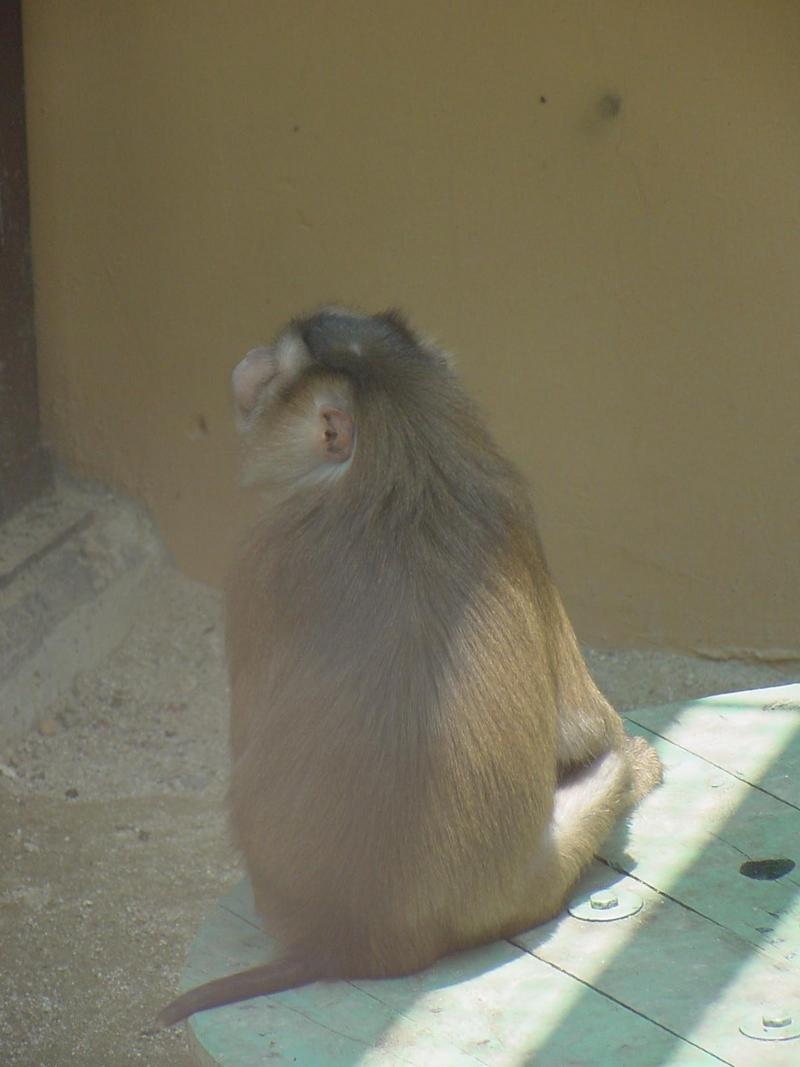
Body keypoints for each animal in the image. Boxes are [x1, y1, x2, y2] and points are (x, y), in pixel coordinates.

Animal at [157, 307, 665, 1024]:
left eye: (276, 367)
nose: (248, 362)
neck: (398, 471)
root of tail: (353, 938)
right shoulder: (509, 515)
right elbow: (587, 732)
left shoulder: (259, 561)